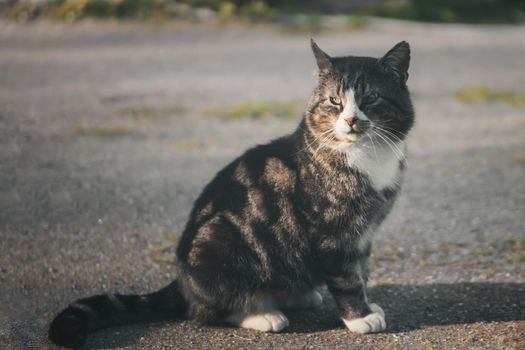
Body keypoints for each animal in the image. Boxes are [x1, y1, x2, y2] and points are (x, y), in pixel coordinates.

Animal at [49, 39, 414, 348]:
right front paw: (360, 318)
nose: (351, 120)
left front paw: (368, 305)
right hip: (220, 244)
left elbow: (361, 271)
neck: (365, 156)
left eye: (370, 98)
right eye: (334, 101)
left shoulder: (364, 233)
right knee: (206, 312)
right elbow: (347, 277)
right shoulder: (333, 234)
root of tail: (182, 280)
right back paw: (262, 313)